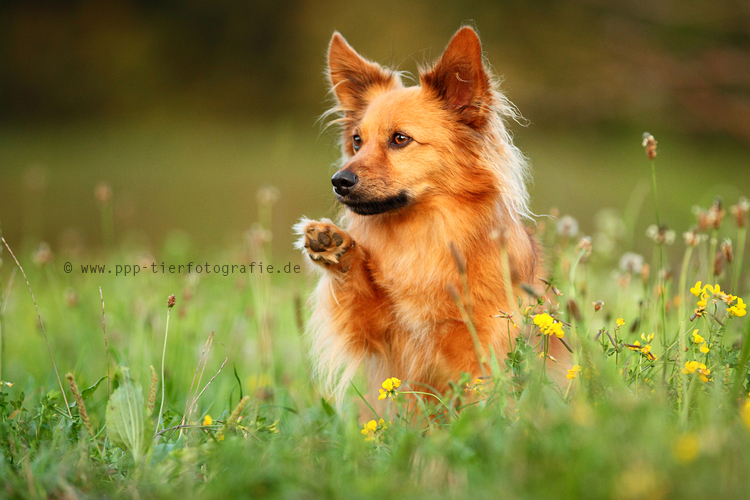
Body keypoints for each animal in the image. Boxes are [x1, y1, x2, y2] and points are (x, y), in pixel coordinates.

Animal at [296, 26, 544, 402]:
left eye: (400, 139)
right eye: (357, 141)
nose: (339, 181)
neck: (422, 236)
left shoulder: (479, 342)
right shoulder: (374, 333)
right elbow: (357, 294)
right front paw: (334, 245)